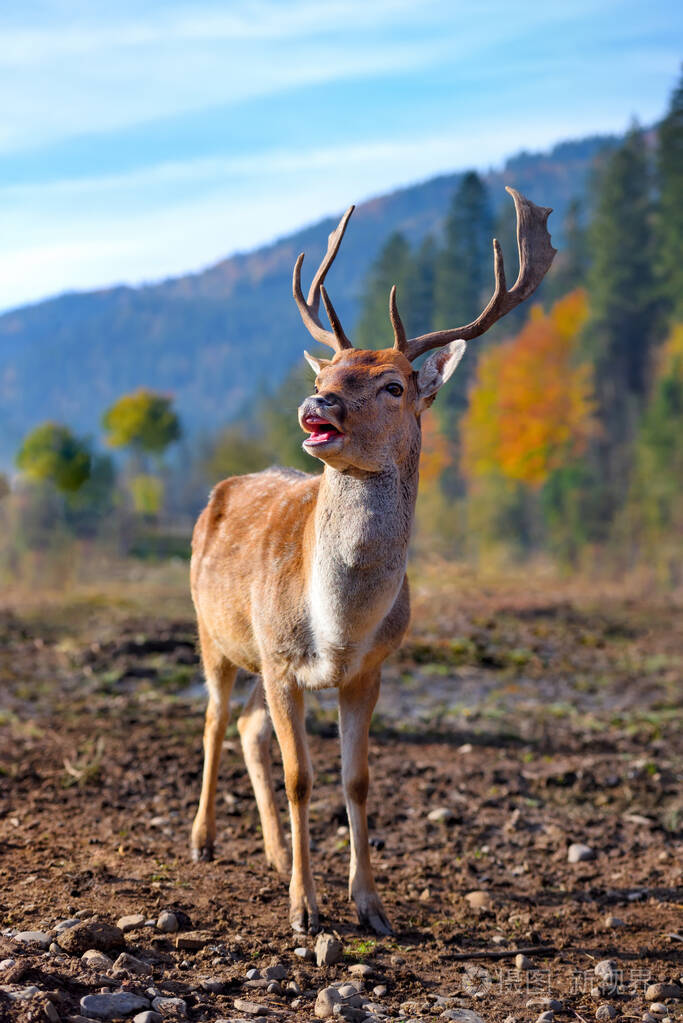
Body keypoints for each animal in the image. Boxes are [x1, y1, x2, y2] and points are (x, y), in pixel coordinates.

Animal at [190, 186, 555, 934]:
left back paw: (274, 854)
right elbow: (302, 777)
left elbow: (355, 781)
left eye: (393, 385)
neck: (339, 627)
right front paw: (306, 911)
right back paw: (204, 841)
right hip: (213, 631)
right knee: (212, 720)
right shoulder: (281, 659)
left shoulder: (371, 668)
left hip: (251, 656)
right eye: (329, 370)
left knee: (245, 726)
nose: (316, 402)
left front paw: (371, 907)